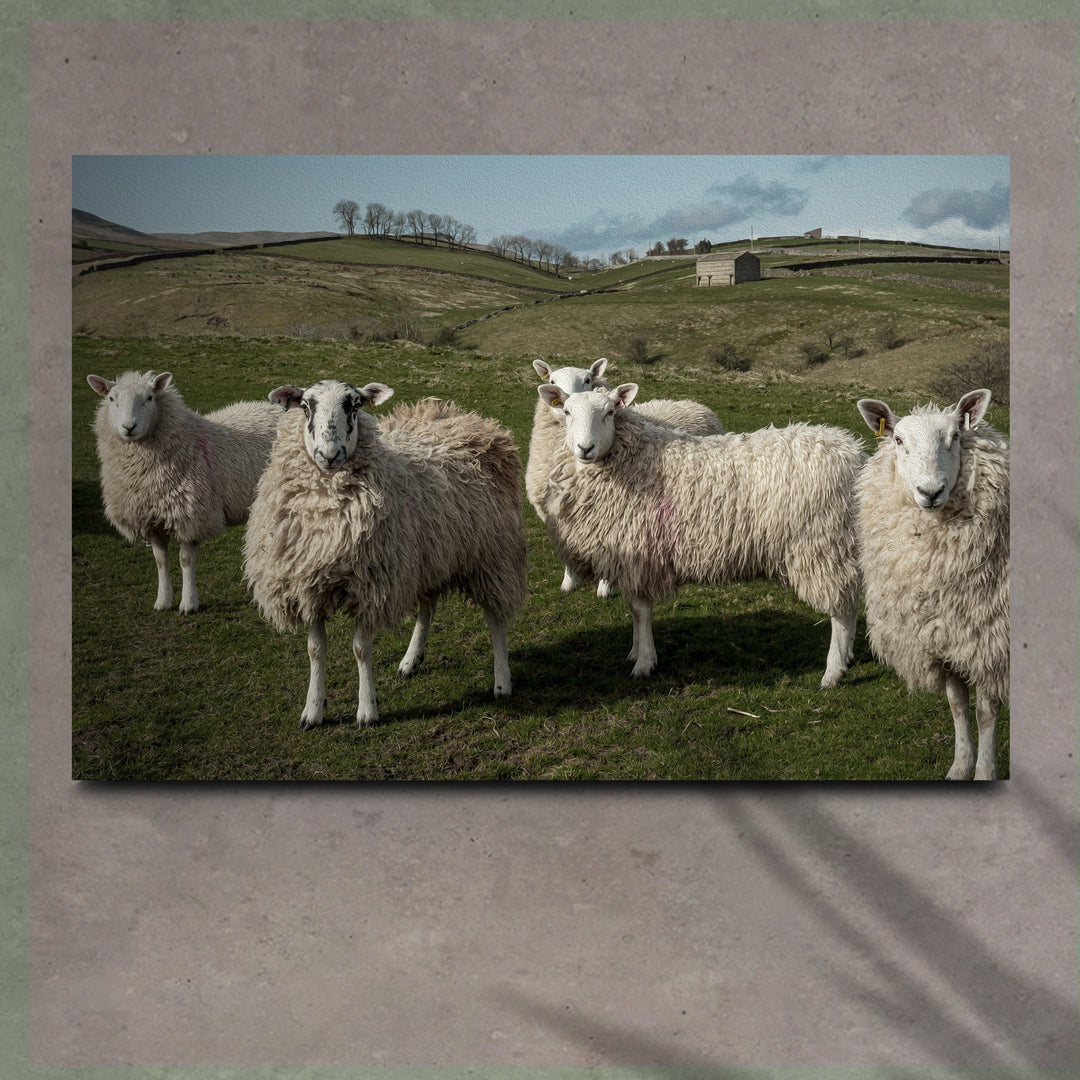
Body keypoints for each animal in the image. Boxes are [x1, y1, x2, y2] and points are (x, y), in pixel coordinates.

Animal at [87, 370, 283, 614]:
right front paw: (162, 601)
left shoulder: (190, 516)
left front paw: (188, 603)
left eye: (149, 397)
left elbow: (185, 561)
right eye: (112, 399)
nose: (129, 427)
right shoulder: (152, 520)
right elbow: (161, 561)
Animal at [242, 380, 528, 729]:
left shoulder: (371, 586)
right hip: (429, 556)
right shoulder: (308, 587)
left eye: (354, 405)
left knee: (495, 618)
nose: (329, 455)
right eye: (306, 406)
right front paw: (312, 710)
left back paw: (502, 680)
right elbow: (315, 650)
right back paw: (410, 660)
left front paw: (367, 710)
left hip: (491, 557)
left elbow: (360, 649)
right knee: (427, 609)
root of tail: (463, 416)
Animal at [527, 357, 724, 597]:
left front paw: (605, 587)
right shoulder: (558, 512)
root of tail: (694, 404)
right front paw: (568, 582)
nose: (585, 448)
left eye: (588, 380)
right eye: (552, 381)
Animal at [537, 382, 864, 688]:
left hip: (822, 545)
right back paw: (848, 657)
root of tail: (853, 452)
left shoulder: (640, 552)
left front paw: (644, 663)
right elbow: (633, 609)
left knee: (842, 611)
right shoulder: (630, 558)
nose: (585, 448)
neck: (634, 458)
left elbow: (641, 611)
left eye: (609, 412)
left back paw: (833, 672)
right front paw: (634, 651)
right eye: (567, 412)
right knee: (850, 602)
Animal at [855, 389, 1009, 780]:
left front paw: (984, 771)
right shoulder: (942, 638)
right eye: (897, 440)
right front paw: (960, 766)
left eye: (954, 436)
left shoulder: (989, 642)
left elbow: (986, 713)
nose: (930, 491)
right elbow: (957, 705)